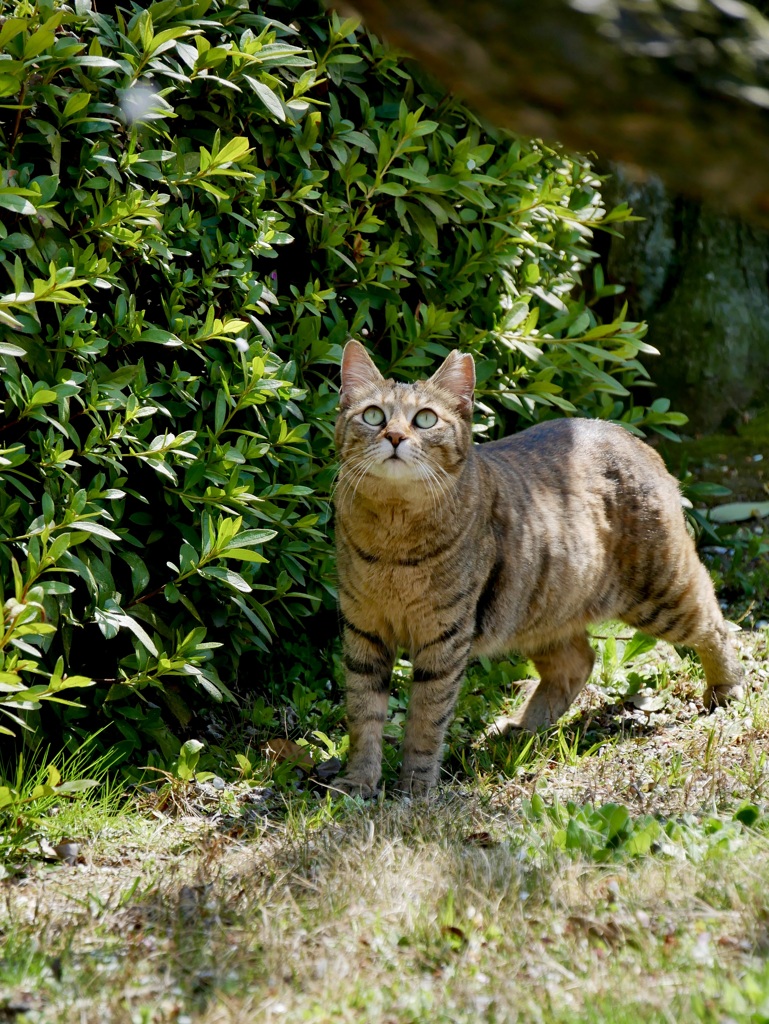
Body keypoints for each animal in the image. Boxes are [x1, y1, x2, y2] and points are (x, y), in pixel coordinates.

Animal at [335, 339, 745, 794]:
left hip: (659, 591)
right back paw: (522, 730)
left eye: (425, 419)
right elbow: (364, 714)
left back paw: (726, 688)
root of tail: (630, 436)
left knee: (714, 619)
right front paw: (358, 782)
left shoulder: (443, 639)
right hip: (540, 611)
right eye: (374, 415)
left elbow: (425, 721)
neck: (393, 532)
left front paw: (415, 788)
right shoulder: (363, 631)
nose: (393, 436)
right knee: (578, 662)